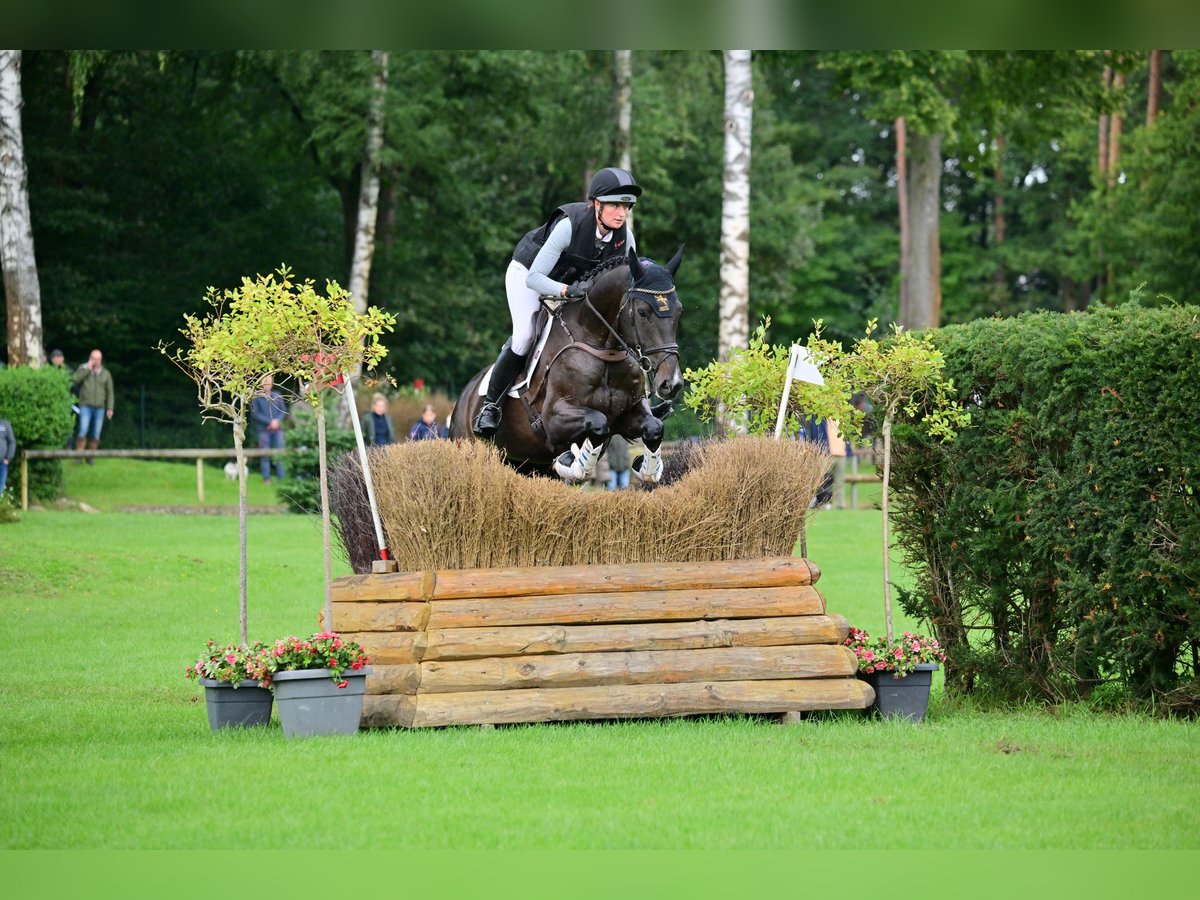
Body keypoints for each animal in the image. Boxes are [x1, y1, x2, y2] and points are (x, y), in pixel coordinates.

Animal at [451, 244, 686, 487]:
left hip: (527, 464)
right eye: (642, 312)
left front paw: (646, 467)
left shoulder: (628, 414)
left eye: (679, 310)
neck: (604, 350)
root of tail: (462, 399)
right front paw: (575, 463)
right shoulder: (554, 418)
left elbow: (654, 427)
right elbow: (598, 422)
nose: (672, 383)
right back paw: (487, 416)